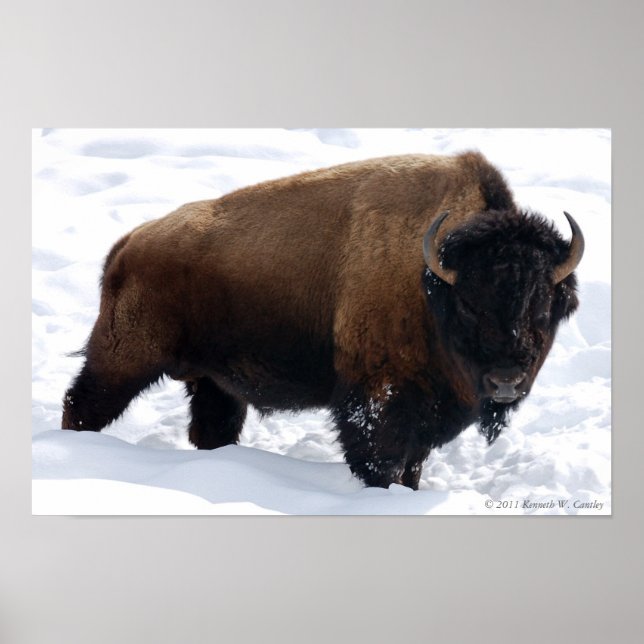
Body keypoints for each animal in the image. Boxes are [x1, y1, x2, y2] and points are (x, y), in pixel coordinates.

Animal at [62, 151, 583, 489]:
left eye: (542, 306)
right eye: (470, 305)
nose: (505, 381)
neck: (431, 281)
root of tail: (128, 244)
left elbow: (412, 466)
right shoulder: (377, 402)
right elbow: (381, 460)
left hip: (213, 383)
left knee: (210, 429)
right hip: (125, 359)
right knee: (82, 403)